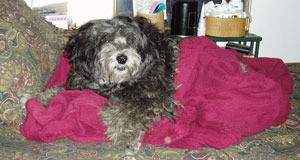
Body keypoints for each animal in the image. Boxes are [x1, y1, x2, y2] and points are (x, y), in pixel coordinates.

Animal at [39, 16, 180, 156]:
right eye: (106, 40)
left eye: (131, 40)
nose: (122, 58)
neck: (117, 82)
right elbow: (64, 91)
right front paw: (44, 97)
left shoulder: (156, 98)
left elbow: (128, 112)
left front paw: (126, 138)